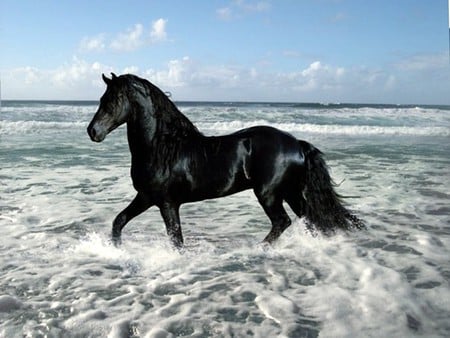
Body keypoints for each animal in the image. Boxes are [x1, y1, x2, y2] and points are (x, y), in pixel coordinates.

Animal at [86, 74, 364, 248]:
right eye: (101, 100)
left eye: (112, 100)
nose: (93, 131)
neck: (162, 147)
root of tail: (297, 144)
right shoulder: (145, 197)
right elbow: (119, 222)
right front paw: (115, 249)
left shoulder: (167, 203)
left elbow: (176, 240)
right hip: (291, 192)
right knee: (309, 219)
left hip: (269, 193)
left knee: (283, 222)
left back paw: (259, 249)